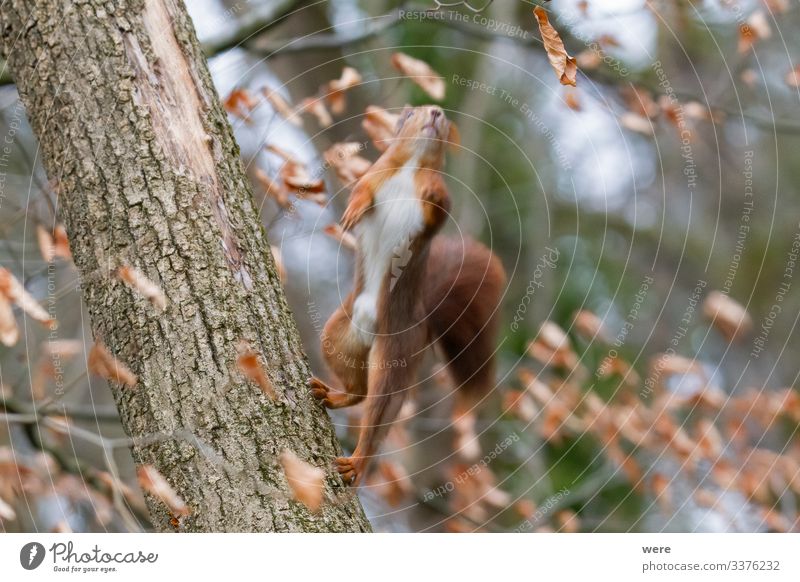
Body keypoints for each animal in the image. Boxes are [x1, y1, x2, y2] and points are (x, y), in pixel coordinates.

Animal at [310, 106, 504, 488]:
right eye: (411, 112)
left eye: (442, 119)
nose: (436, 112)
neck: (412, 166)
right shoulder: (373, 174)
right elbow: (361, 189)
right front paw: (353, 210)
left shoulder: (435, 212)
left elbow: (439, 206)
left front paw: (431, 190)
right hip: (337, 337)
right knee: (358, 390)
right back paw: (332, 394)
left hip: (394, 356)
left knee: (378, 409)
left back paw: (356, 463)